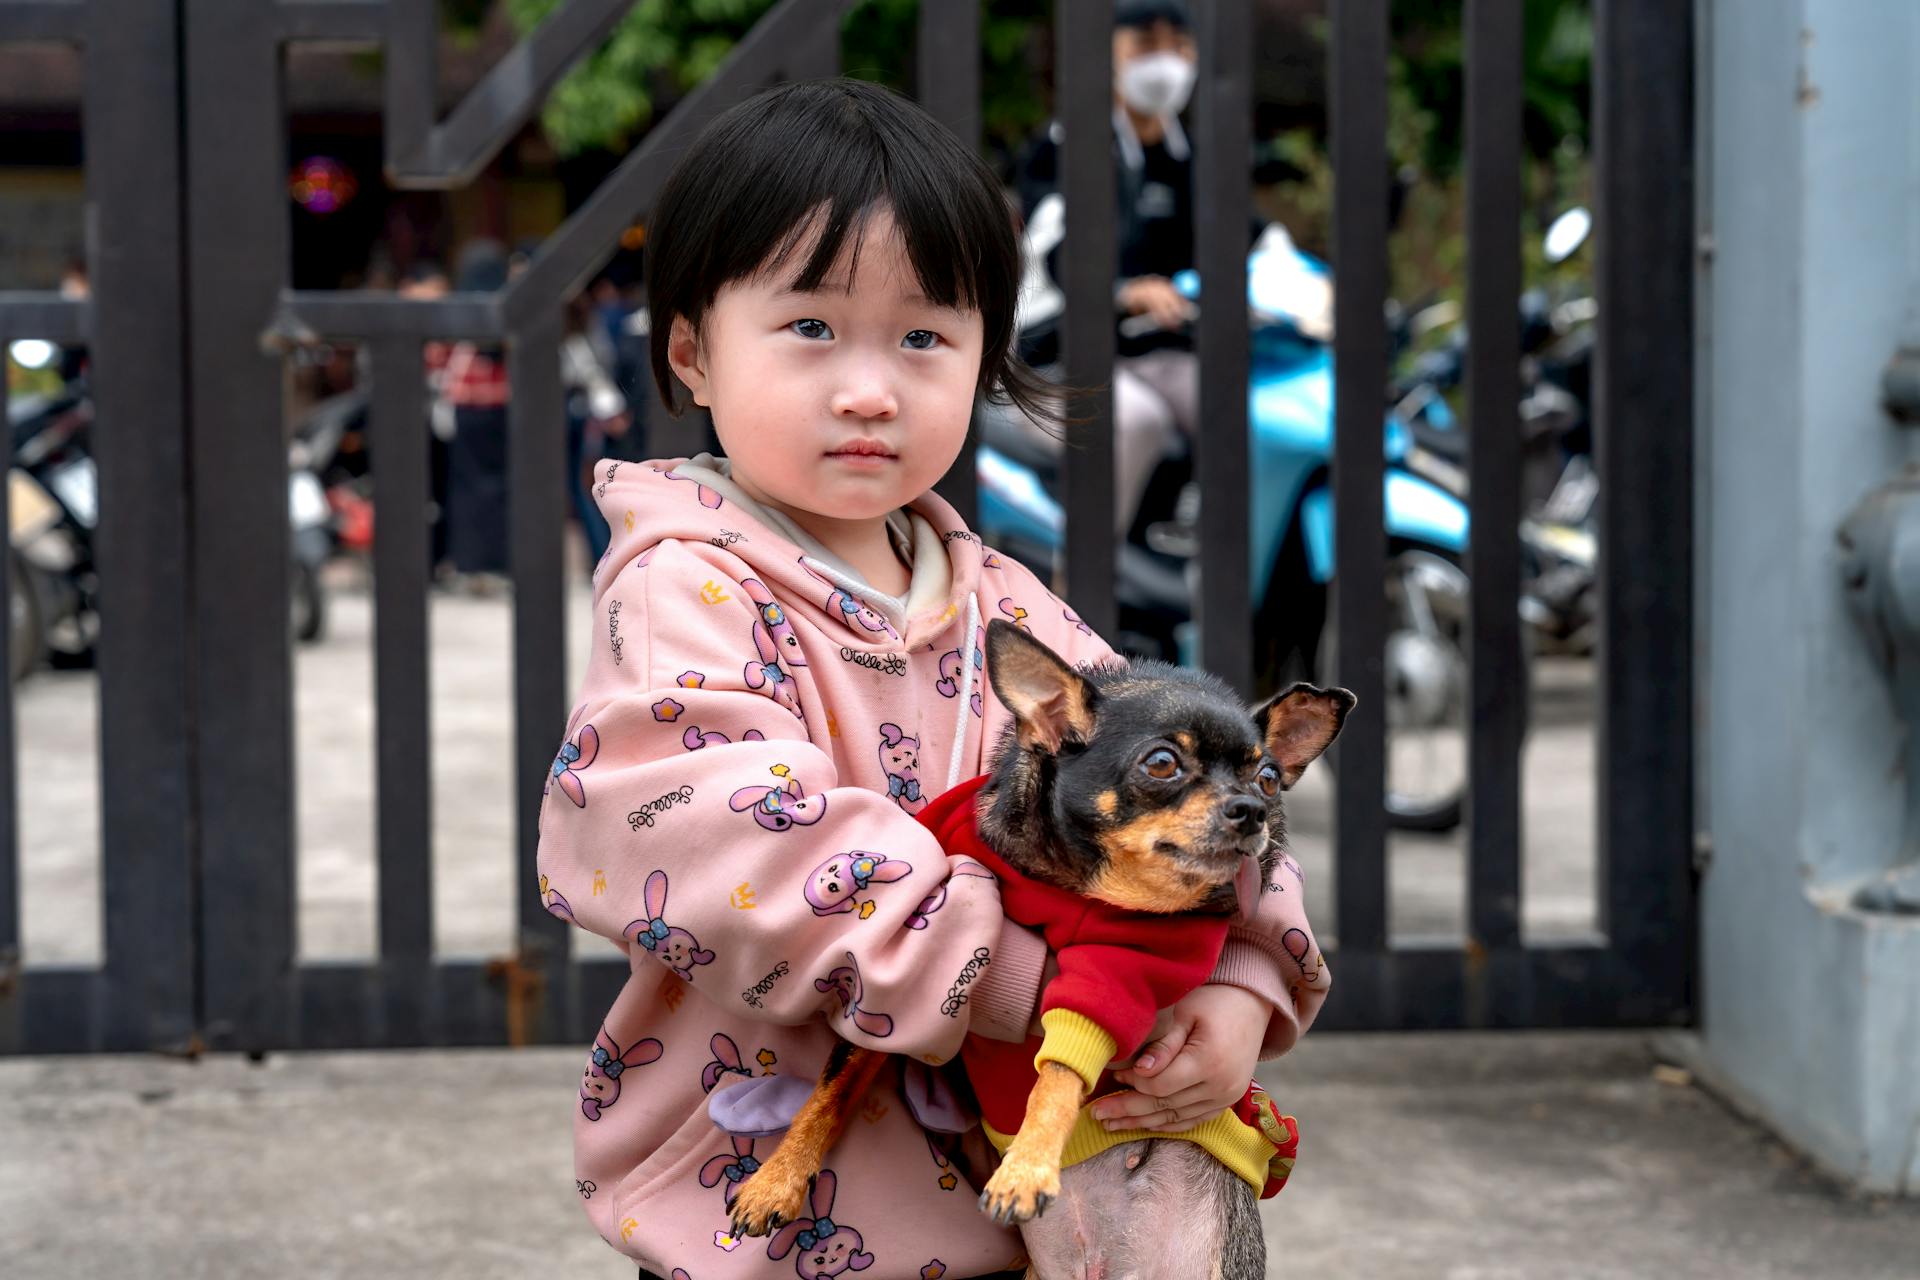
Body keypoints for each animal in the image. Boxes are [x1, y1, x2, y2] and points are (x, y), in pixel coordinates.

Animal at [721, 617, 1351, 1274]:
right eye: (1162, 764)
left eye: (1269, 778)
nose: (1254, 809)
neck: (1076, 887)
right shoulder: (891, 998)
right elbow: (832, 1084)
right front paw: (777, 1179)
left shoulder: (1121, 973)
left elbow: (1060, 1072)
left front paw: (1025, 1167)